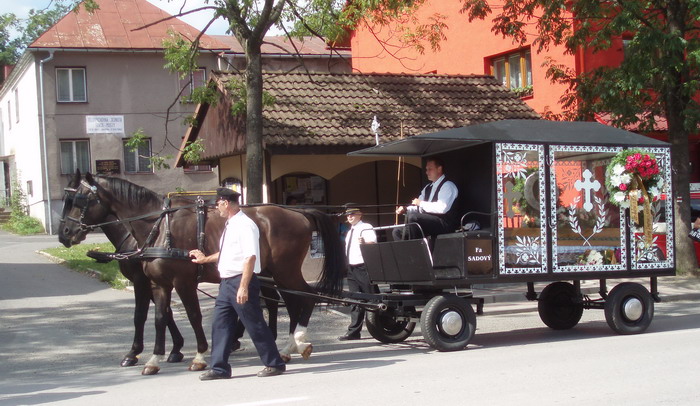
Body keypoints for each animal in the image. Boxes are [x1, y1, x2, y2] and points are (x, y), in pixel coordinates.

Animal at [58, 171, 346, 374]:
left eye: (78, 200)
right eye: (66, 199)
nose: (64, 234)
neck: (159, 228)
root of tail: (299, 213)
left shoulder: (179, 282)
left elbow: (188, 315)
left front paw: (196, 356)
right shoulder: (159, 284)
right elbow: (159, 318)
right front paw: (155, 358)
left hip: (285, 270)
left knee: (305, 297)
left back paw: (296, 340)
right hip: (274, 273)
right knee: (291, 301)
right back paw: (288, 345)